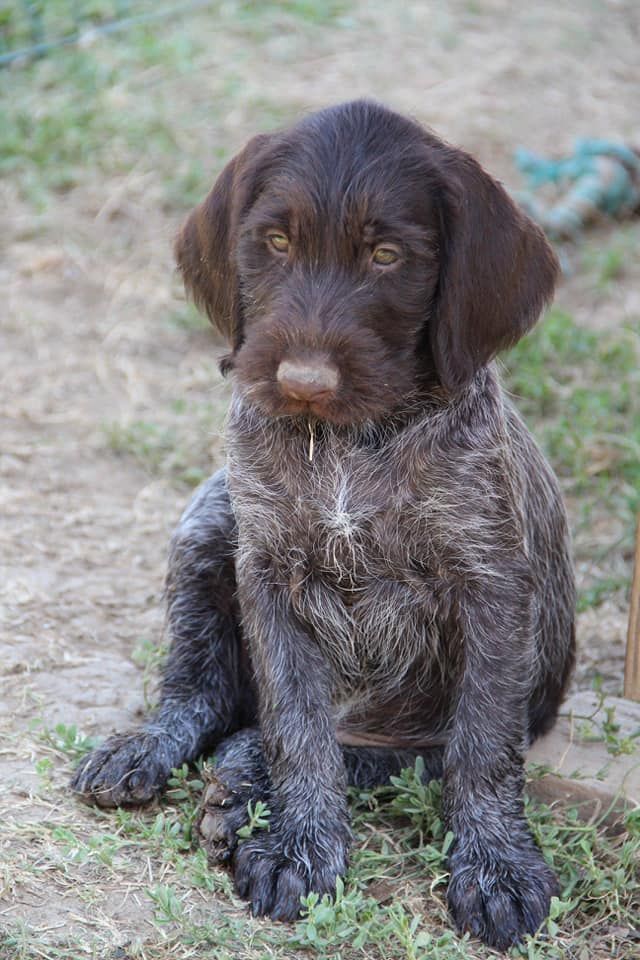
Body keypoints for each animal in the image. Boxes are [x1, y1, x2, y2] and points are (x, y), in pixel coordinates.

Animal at [74, 99, 576, 952]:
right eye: (276, 242)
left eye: (387, 255)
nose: (302, 381)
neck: (348, 441)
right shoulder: (269, 574)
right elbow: (296, 726)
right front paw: (303, 848)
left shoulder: (492, 590)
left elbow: (481, 748)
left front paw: (496, 866)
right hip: (209, 520)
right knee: (209, 694)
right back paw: (163, 746)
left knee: (384, 753)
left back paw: (241, 782)